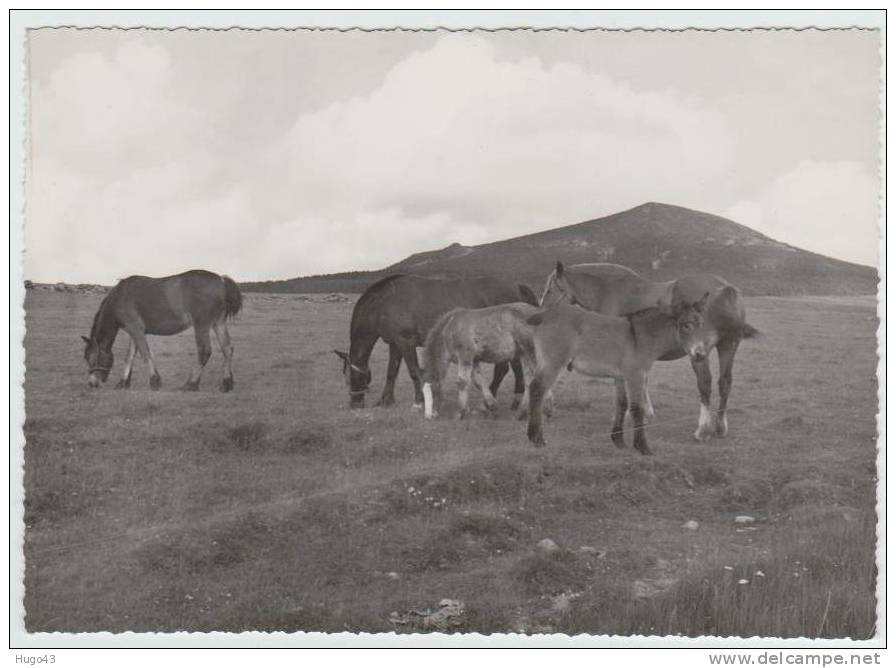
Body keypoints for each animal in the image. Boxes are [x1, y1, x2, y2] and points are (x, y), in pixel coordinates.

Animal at [80, 268, 240, 388]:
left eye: (92, 358)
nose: (92, 383)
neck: (120, 296)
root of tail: (221, 280)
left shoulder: (136, 329)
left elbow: (146, 354)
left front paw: (154, 381)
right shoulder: (134, 332)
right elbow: (129, 357)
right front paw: (123, 382)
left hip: (202, 325)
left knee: (205, 351)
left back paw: (191, 383)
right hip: (218, 324)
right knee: (227, 348)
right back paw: (227, 383)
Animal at [330, 274, 536, 410]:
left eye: (350, 377)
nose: (355, 403)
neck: (383, 304)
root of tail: (517, 286)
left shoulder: (406, 341)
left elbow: (414, 371)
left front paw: (419, 400)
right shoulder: (394, 343)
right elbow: (391, 372)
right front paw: (386, 400)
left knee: (512, 368)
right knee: (506, 368)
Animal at [420, 302, 552, 418]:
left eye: (433, 391)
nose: (429, 416)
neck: (450, 328)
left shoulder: (465, 356)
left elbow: (462, 382)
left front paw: (459, 413)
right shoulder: (474, 360)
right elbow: (479, 382)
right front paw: (492, 407)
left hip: (531, 352)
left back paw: (544, 411)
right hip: (523, 354)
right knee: (529, 380)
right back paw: (524, 413)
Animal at [524, 296, 712, 454]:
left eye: (702, 324)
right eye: (686, 325)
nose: (701, 355)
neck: (640, 337)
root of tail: (545, 315)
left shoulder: (621, 377)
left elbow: (622, 404)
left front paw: (619, 440)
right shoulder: (635, 375)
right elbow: (637, 408)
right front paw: (642, 447)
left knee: (534, 388)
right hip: (553, 362)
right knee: (537, 389)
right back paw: (537, 438)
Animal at [540, 262, 756, 444]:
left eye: (550, 289)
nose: (542, 312)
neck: (610, 291)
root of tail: (724, 288)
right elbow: (643, 380)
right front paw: (646, 412)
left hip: (699, 354)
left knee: (705, 383)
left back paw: (703, 429)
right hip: (728, 346)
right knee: (725, 382)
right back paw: (720, 427)